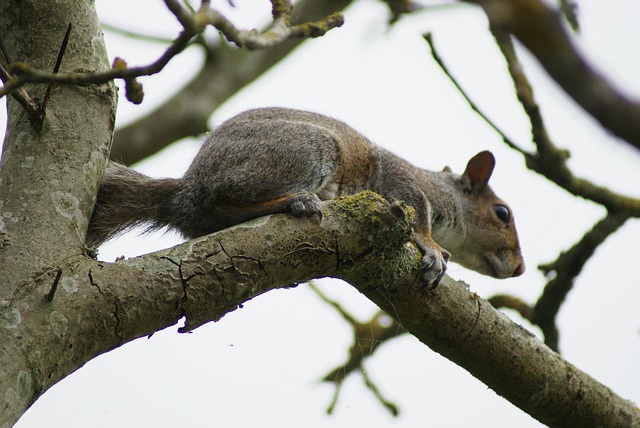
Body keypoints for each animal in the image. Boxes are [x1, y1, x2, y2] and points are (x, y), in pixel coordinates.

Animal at [87, 107, 525, 287]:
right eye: (502, 213)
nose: (520, 268)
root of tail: (188, 187)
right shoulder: (402, 182)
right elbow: (417, 215)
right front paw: (433, 248)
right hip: (308, 149)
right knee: (224, 200)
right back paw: (296, 201)